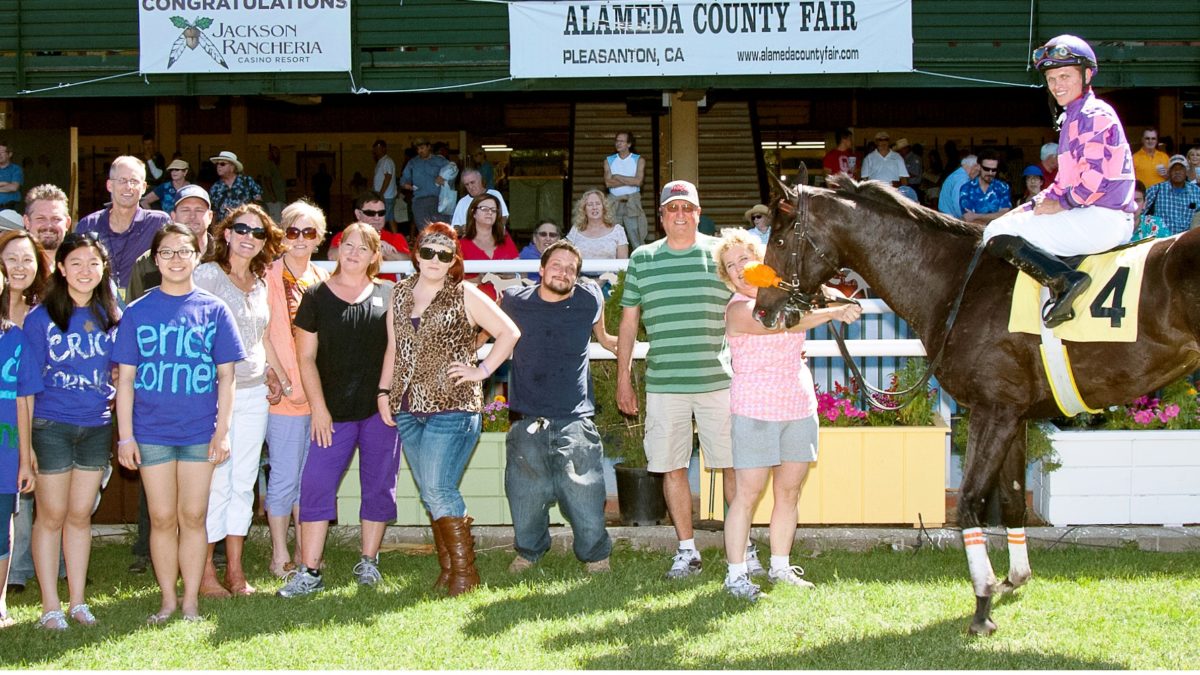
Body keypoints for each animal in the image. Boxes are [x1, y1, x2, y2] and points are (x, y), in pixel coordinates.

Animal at [753, 171, 1200, 629]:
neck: (955, 286)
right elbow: (1013, 502)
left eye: (781, 241)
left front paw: (983, 601)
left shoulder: (993, 409)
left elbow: (969, 502)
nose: (761, 312)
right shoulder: (1016, 415)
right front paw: (1015, 579)